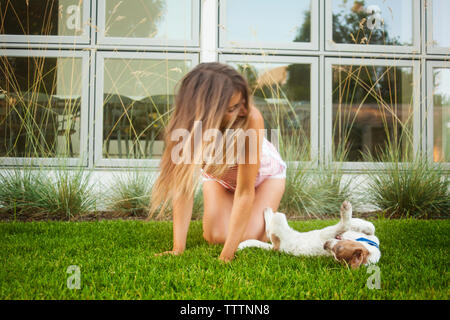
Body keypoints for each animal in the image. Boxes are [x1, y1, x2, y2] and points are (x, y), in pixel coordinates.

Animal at [237, 201, 382, 268]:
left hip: (279, 220)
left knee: (269, 228)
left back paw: (267, 211)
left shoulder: (329, 233)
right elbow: (369, 226)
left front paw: (346, 212)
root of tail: (276, 248)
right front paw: (363, 226)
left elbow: (344, 224)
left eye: (337, 251)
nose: (325, 245)